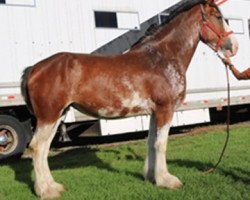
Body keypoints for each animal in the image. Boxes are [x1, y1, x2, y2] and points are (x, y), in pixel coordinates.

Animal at [20, 0, 237, 198]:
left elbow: (151, 142)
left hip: (56, 116)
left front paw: (151, 177)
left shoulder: (154, 112)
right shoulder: (165, 109)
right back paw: (46, 191)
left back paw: (53, 187)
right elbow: (161, 144)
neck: (161, 57)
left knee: (44, 149)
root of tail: (34, 68)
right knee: (37, 148)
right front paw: (166, 180)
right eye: (218, 17)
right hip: (48, 116)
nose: (234, 46)